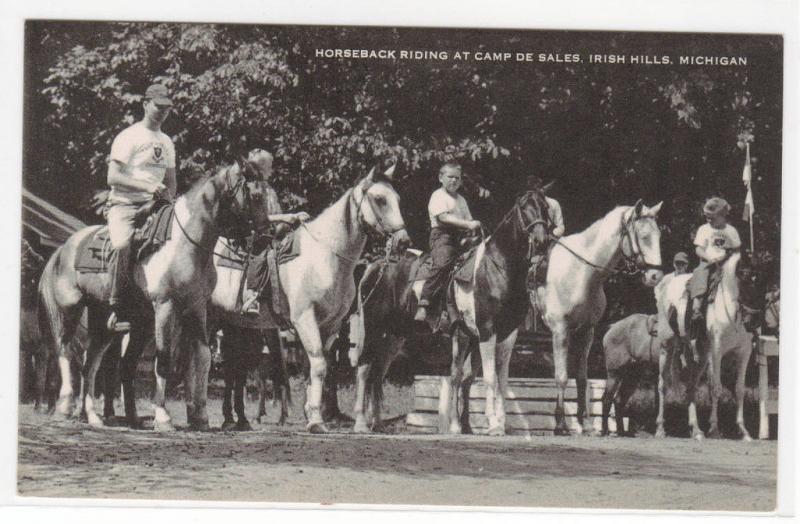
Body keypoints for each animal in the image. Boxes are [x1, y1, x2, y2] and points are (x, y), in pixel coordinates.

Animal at [37, 160, 270, 430]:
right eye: (255, 196)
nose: (266, 237)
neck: (184, 245)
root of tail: (64, 248)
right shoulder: (165, 307)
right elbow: (164, 359)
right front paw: (163, 417)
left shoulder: (197, 308)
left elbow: (203, 357)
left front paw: (200, 417)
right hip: (70, 310)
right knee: (65, 352)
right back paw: (65, 408)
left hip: (108, 321)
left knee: (92, 363)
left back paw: (100, 417)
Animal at [209, 166, 410, 432]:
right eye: (379, 199)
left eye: (397, 198)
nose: (404, 241)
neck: (325, 256)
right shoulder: (305, 319)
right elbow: (319, 365)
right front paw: (315, 420)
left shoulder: (331, 325)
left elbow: (317, 367)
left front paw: (311, 412)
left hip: (232, 324)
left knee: (233, 367)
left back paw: (235, 420)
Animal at [354, 190, 552, 436]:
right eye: (525, 208)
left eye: (545, 207)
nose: (542, 240)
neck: (497, 267)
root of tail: (375, 267)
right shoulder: (486, 333)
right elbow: (487, 378)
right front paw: (492, 424)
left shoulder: (505, 336)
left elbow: (494, 380)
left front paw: (489, 424)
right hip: (372, 327)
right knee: (363, 369)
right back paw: (361, 423)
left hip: (395, 336)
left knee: (378, 373)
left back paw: (378, 423)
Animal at [536, 200, 664, 434]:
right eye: (643, 236)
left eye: (658, 235)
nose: (655, 276)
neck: (581, 273)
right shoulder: (560, 331)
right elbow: (561, 377)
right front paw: (560, 424)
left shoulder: (587, 332)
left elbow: (581, 379)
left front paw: (585, 424)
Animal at [656, 252, 764, 440]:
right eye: (744, 279)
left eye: (761, 281)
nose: (754, 321)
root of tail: (667, 284)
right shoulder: (717, 352)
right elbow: (716, 387)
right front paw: (714, 429)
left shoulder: (744, 353)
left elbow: (740, 389)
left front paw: (743, 431)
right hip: (667, 346)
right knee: (662, 384)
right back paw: (661, 428)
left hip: (698, 355)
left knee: (691, 385)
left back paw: (696, 430)